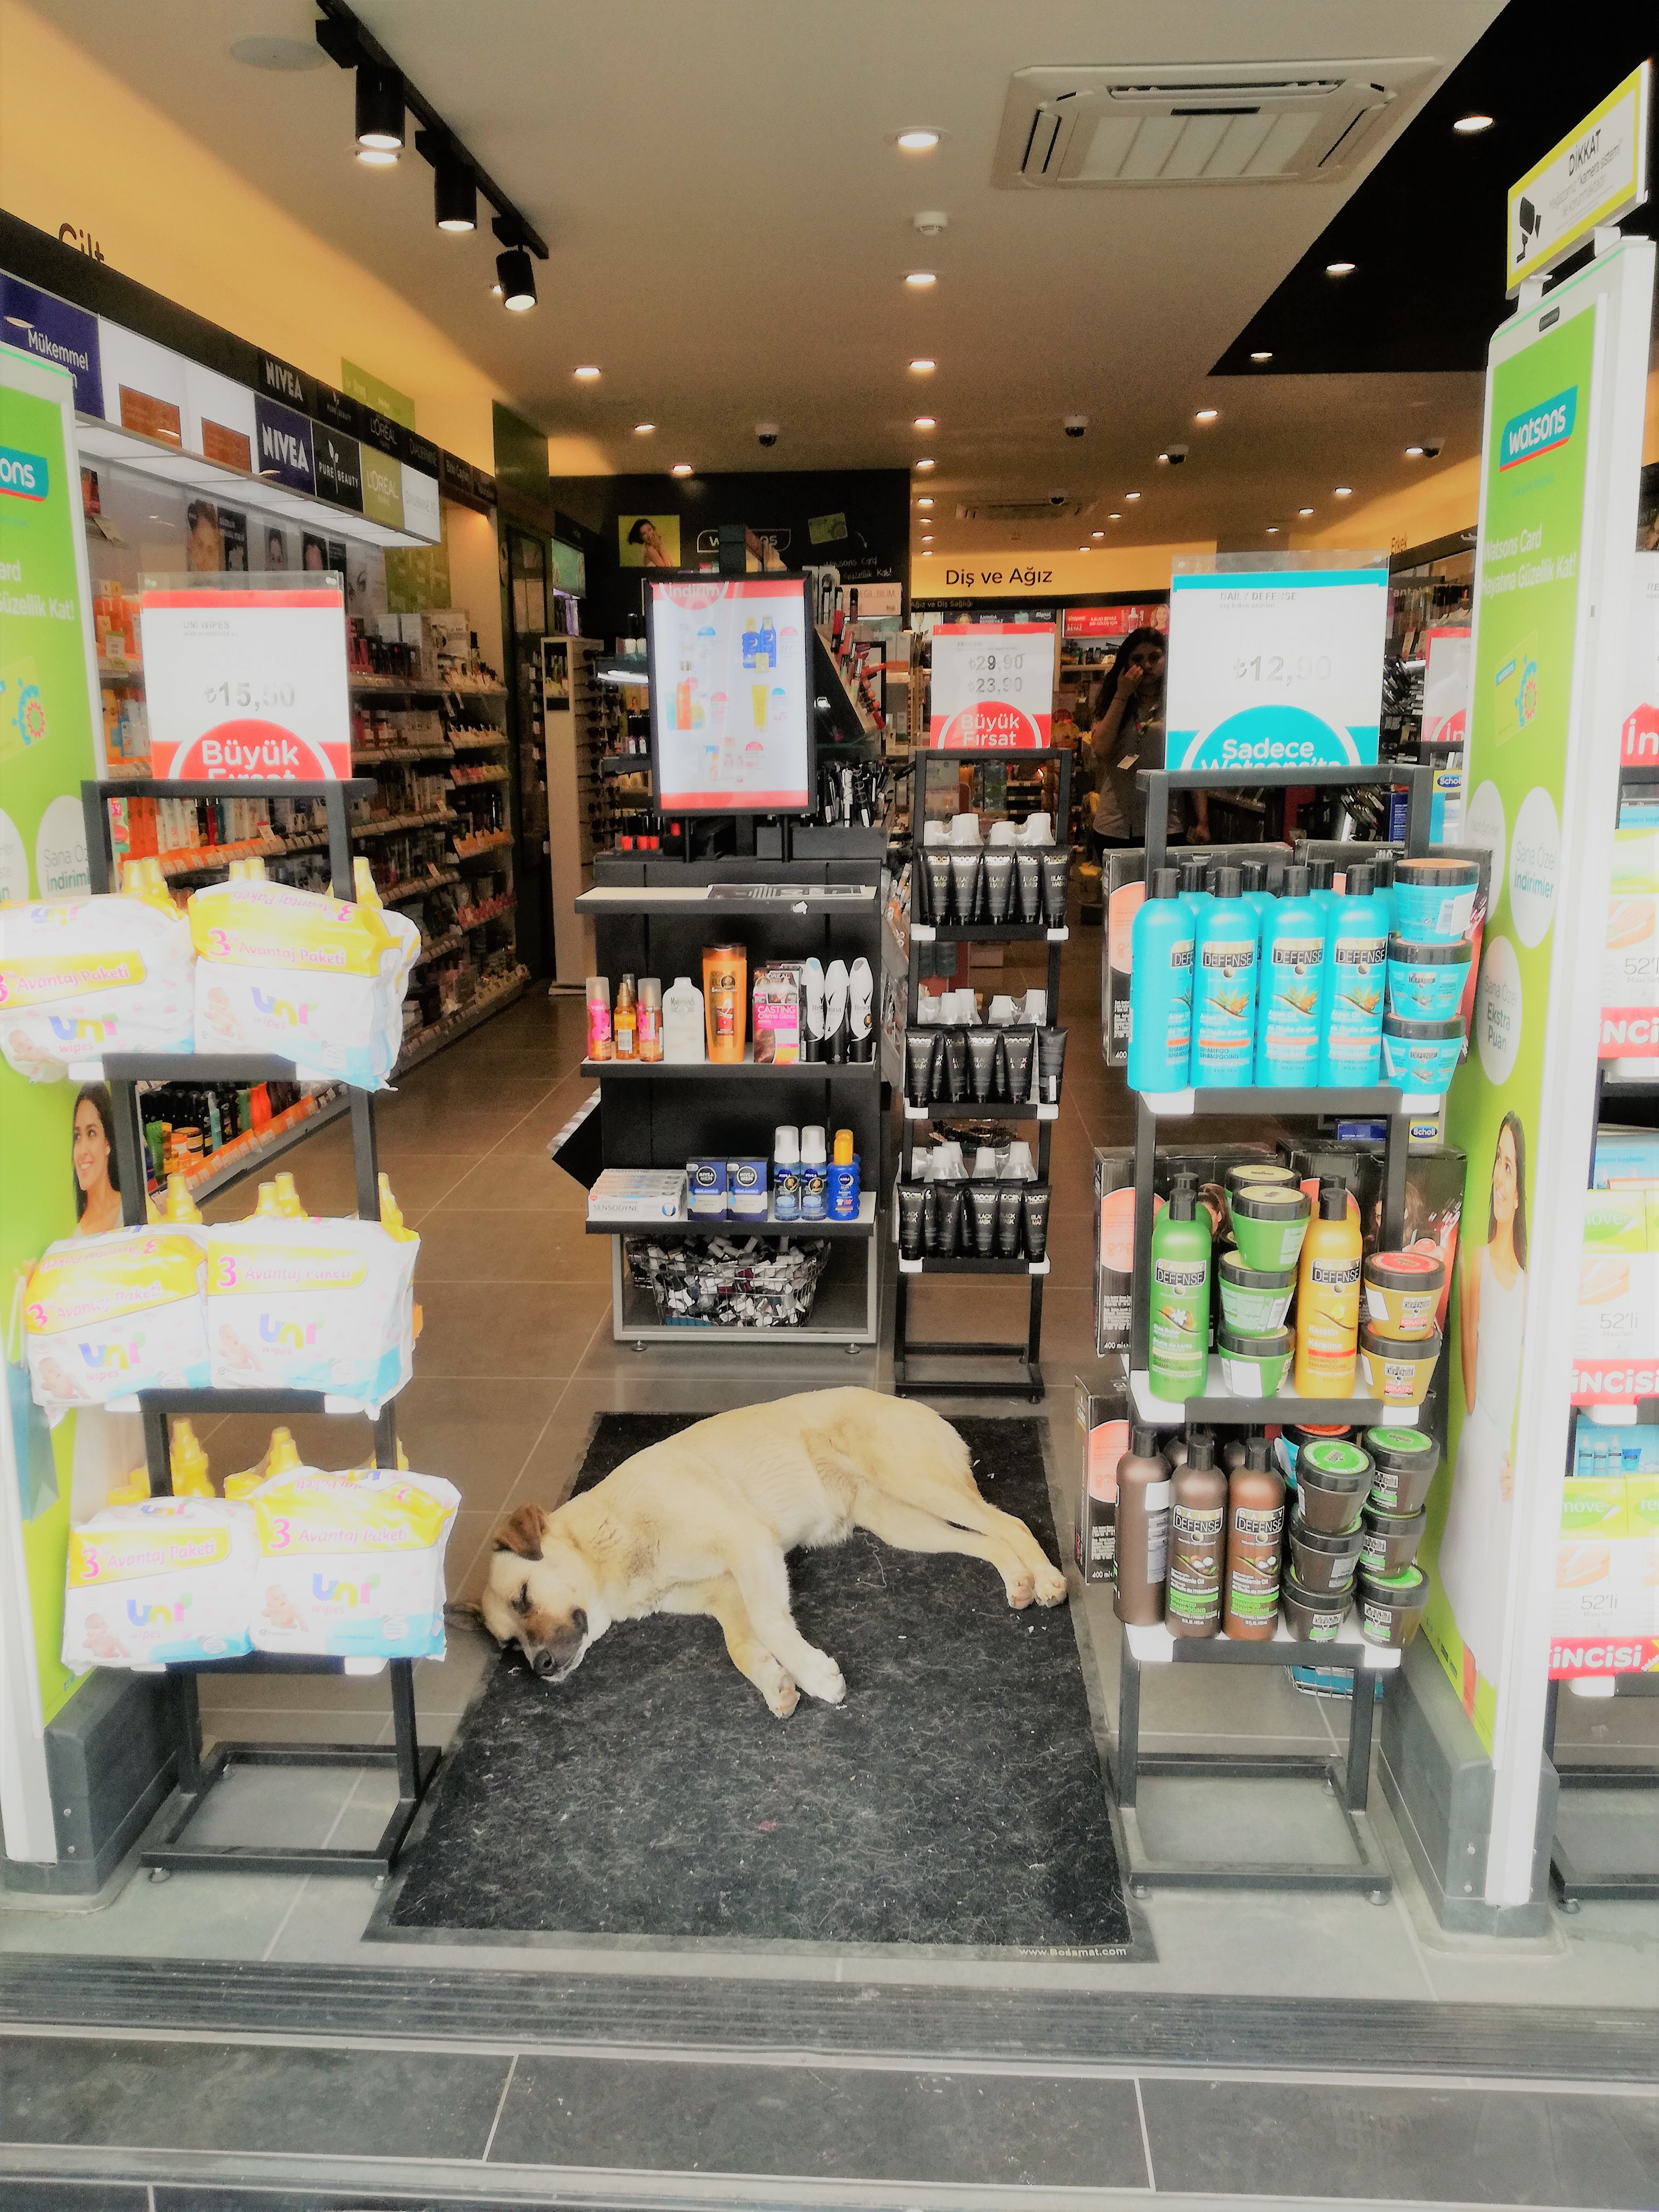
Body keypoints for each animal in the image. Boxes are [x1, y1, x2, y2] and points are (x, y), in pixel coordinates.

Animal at [474, 1388, 1066, 1716]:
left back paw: (1048, 1579)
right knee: (988, 1538)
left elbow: (770, 1621)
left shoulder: (749, 1544)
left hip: (918, 1483)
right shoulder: (725, 1593)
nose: (541, 1668)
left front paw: (815, 1675)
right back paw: (1018, 1580)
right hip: (904, 1523)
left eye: (525, 1596)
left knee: (1012, 1522)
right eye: (509, 1646)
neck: (612, 1538)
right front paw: (774, 1682)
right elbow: (741, 1645)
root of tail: (924, 1408)